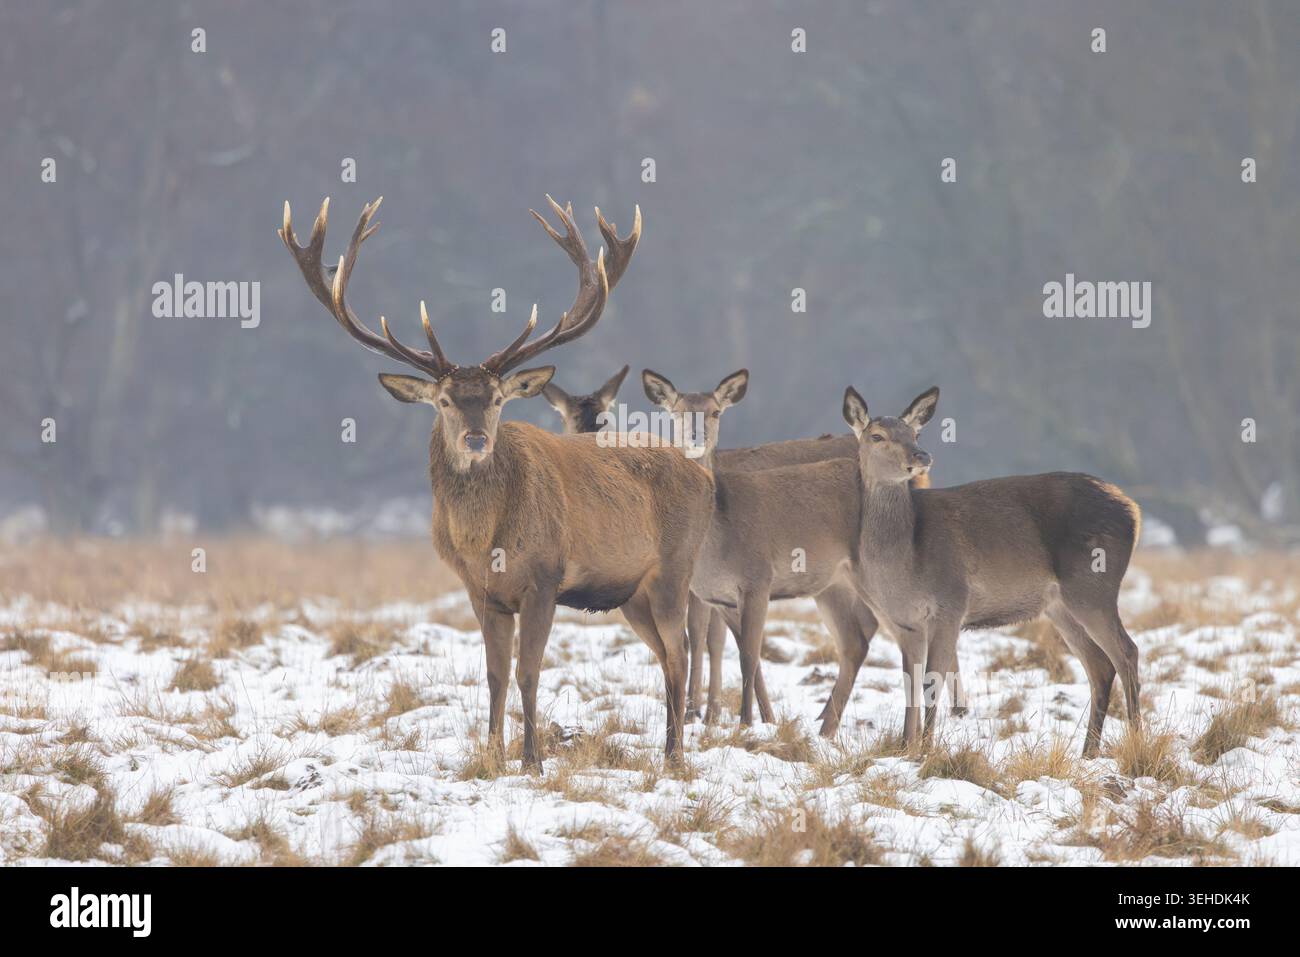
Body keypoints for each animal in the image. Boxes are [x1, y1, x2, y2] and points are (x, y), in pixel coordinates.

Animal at [279, 195, 715, 771]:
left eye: (496, 399)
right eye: (444, 400)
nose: (475, 439)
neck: (483, 542)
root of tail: (704, 475)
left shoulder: (545, 578)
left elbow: (528, 671)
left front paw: (531, 759)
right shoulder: (479, 591)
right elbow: (493, 675)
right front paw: (491, 756)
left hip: (674, 569)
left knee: (680, 653)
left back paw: (674, 755)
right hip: (630, 593)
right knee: (666, 655)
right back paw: (669, 748)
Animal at [841, 385, 1142, 756]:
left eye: (915, 433)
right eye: (877, 436)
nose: (921, 455)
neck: (905, 560)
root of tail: (1133, 509)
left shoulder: (950, 604)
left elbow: (931, 683)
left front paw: (926, 752)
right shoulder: (904, 623)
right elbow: (910, 686)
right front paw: (905, 748)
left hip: (1093, 586)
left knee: (1127, 652)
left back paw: (1136, 742)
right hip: (1061, 606)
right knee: (1100, 665)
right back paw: (1088, 753)